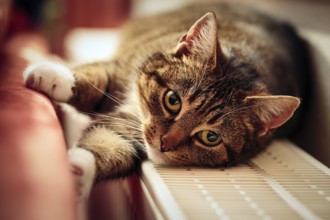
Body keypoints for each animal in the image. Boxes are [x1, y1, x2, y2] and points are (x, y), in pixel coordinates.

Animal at [22, 4, 310, 198]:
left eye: (210, 137)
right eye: (173, 100)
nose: (164, 144)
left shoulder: (129, 132)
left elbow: (109, 144)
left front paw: (77, 171)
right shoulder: (124, 67)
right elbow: (97, 76)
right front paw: (53, 76)